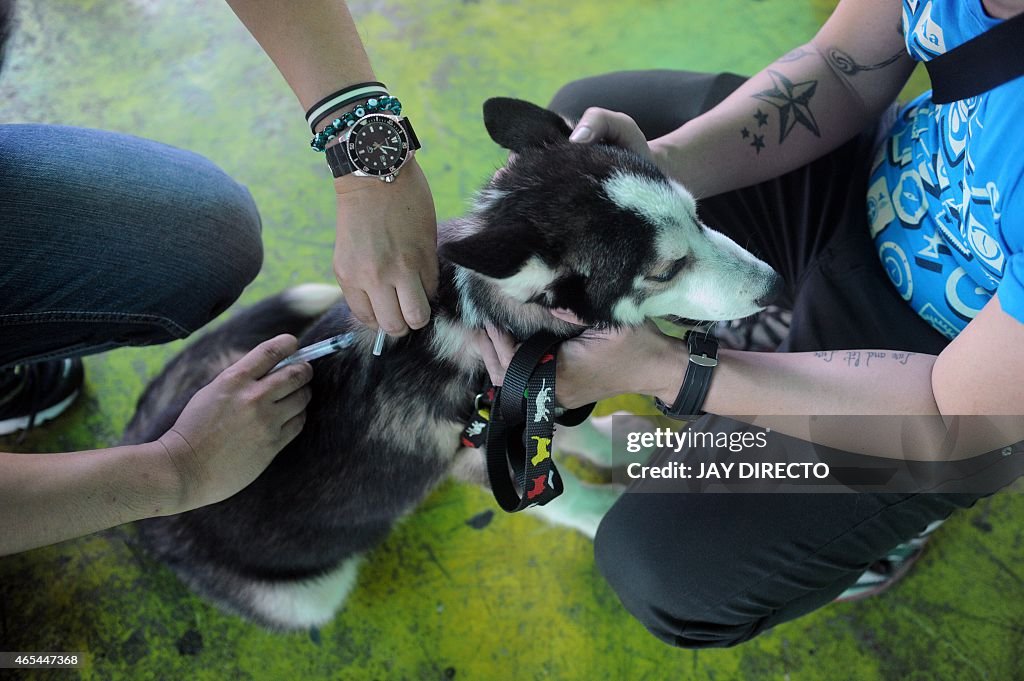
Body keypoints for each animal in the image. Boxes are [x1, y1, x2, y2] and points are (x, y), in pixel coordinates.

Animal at [125, 98, 774, 630]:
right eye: (668, 269)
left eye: (698, 214)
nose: (774, 284)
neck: (471, 316)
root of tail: (148, 441)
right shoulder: (482, 442)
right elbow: (563, 494)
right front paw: (603, 504)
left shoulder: (525, 387)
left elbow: (570, 428)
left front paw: (618, 442)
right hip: (307, 595)